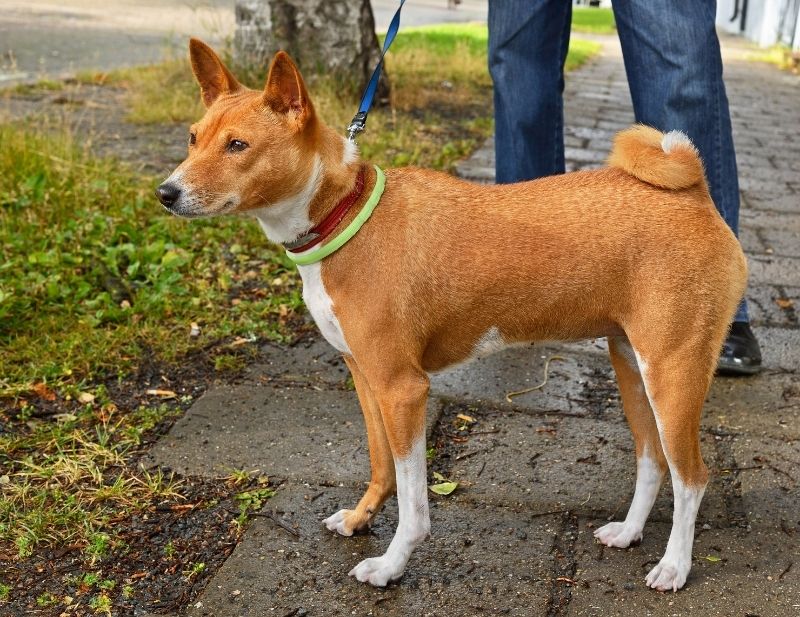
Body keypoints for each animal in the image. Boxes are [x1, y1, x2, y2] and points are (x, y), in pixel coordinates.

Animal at [158, 39, 752, 592]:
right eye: (192, 138)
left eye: (238, 145)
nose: (166, 192)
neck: (342, 214)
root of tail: (694, 193)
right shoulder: (367, 380)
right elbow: (381, 466)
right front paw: (359, 520)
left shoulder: (403, 389)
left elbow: (414, 501)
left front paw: (392, 564)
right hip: (632, 367)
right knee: (654, 462)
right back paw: (629, 533)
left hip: (672, 374)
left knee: (693, 477)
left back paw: (674, 566)